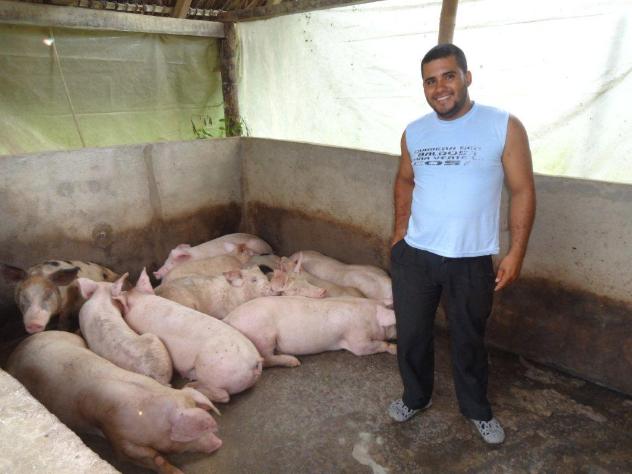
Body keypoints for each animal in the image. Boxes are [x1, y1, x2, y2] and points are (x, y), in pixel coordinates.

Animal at [7, 331, 222, 473]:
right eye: (192, 433)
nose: (218, 443)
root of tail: (18, 348)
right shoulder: (115, 432)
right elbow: (137, 455)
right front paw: (176, 471)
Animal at [223, 296, 397, 368]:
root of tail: (229, 318)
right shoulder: (357, 339)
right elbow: (367, 348)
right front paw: (394, 349)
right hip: (262, 336)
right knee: (266, 359)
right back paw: (294, 362)